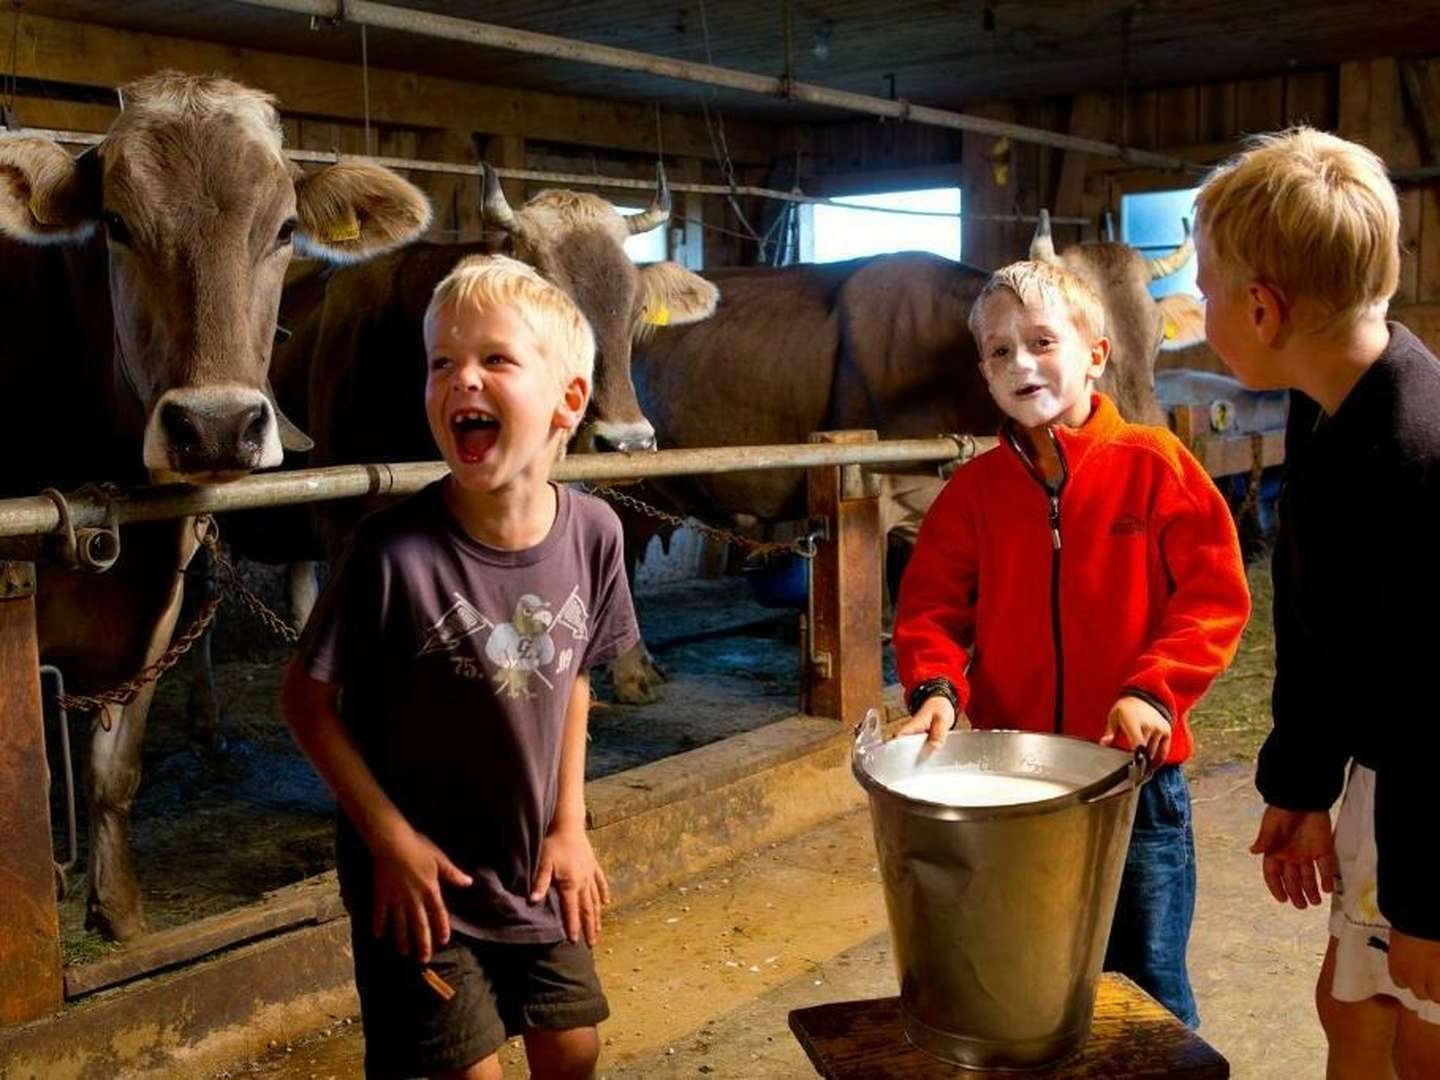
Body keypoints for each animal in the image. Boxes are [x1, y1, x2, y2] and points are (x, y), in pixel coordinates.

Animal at [0, 74, 429, 938]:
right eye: (116, 224)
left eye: (287, 228)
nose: (218, 425)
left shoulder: (156, 597)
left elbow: (114, 772)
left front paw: (120, 915)